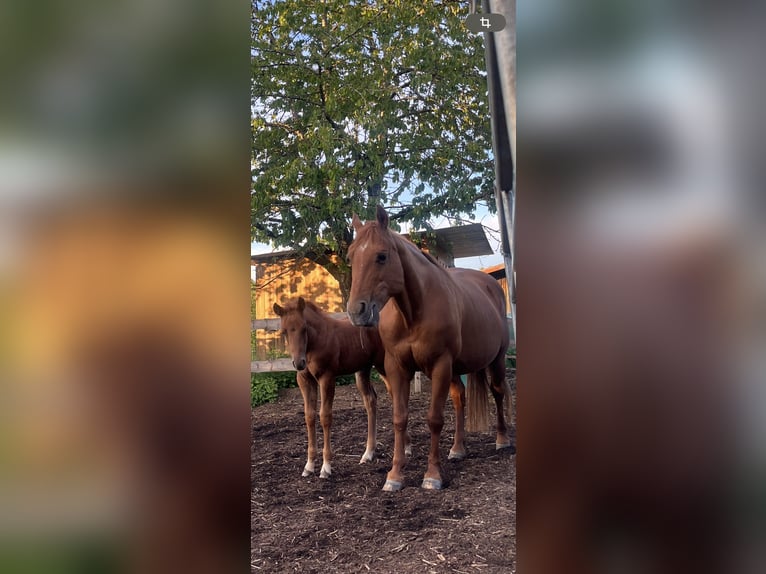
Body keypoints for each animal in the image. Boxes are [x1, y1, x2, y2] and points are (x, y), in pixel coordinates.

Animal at [272, 296, 392, 479]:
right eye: (284, 331)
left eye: (304, 328)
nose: (299, 363)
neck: (315, 343)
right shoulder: (304, 380)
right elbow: (309, 416)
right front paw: (309, 466)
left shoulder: (327, 378)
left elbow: (325, 416)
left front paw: (326, 467)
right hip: (362, 370)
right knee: (371, 401)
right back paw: (368, 454)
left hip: (383, 366)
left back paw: (406, 449)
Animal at [346, 205, 513, 491]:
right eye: (350, 257)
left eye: (382, 256)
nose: (357, 311)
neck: (414, 312)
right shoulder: (397, 367)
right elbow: (400, 418)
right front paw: (394, 476)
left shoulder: (440, 365)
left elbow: (434, 419)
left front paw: (432, 475)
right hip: (457, 369)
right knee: (459, 399)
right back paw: (458, 448)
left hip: (496, 359)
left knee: (498, 391)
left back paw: (502, 440)